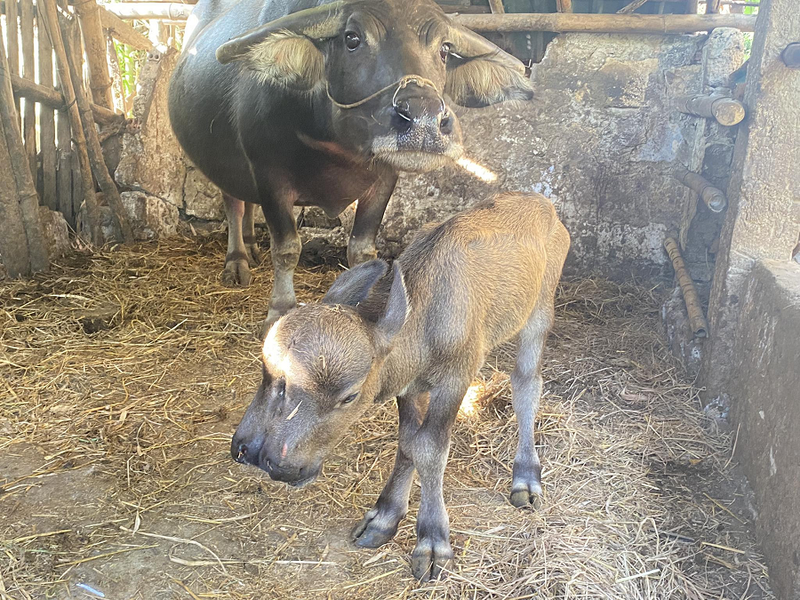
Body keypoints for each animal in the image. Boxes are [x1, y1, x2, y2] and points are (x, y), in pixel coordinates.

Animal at [168, 0, 532, 326]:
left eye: (444, 49)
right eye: (352, 38)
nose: (424, 121)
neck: (336, 149)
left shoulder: (384, 179)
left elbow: (361, 250)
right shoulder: (269, 174)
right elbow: (287, 248)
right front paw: (280, 310)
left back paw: (253, 247)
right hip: (222, 164)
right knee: (234, 204)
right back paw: (237, 261)